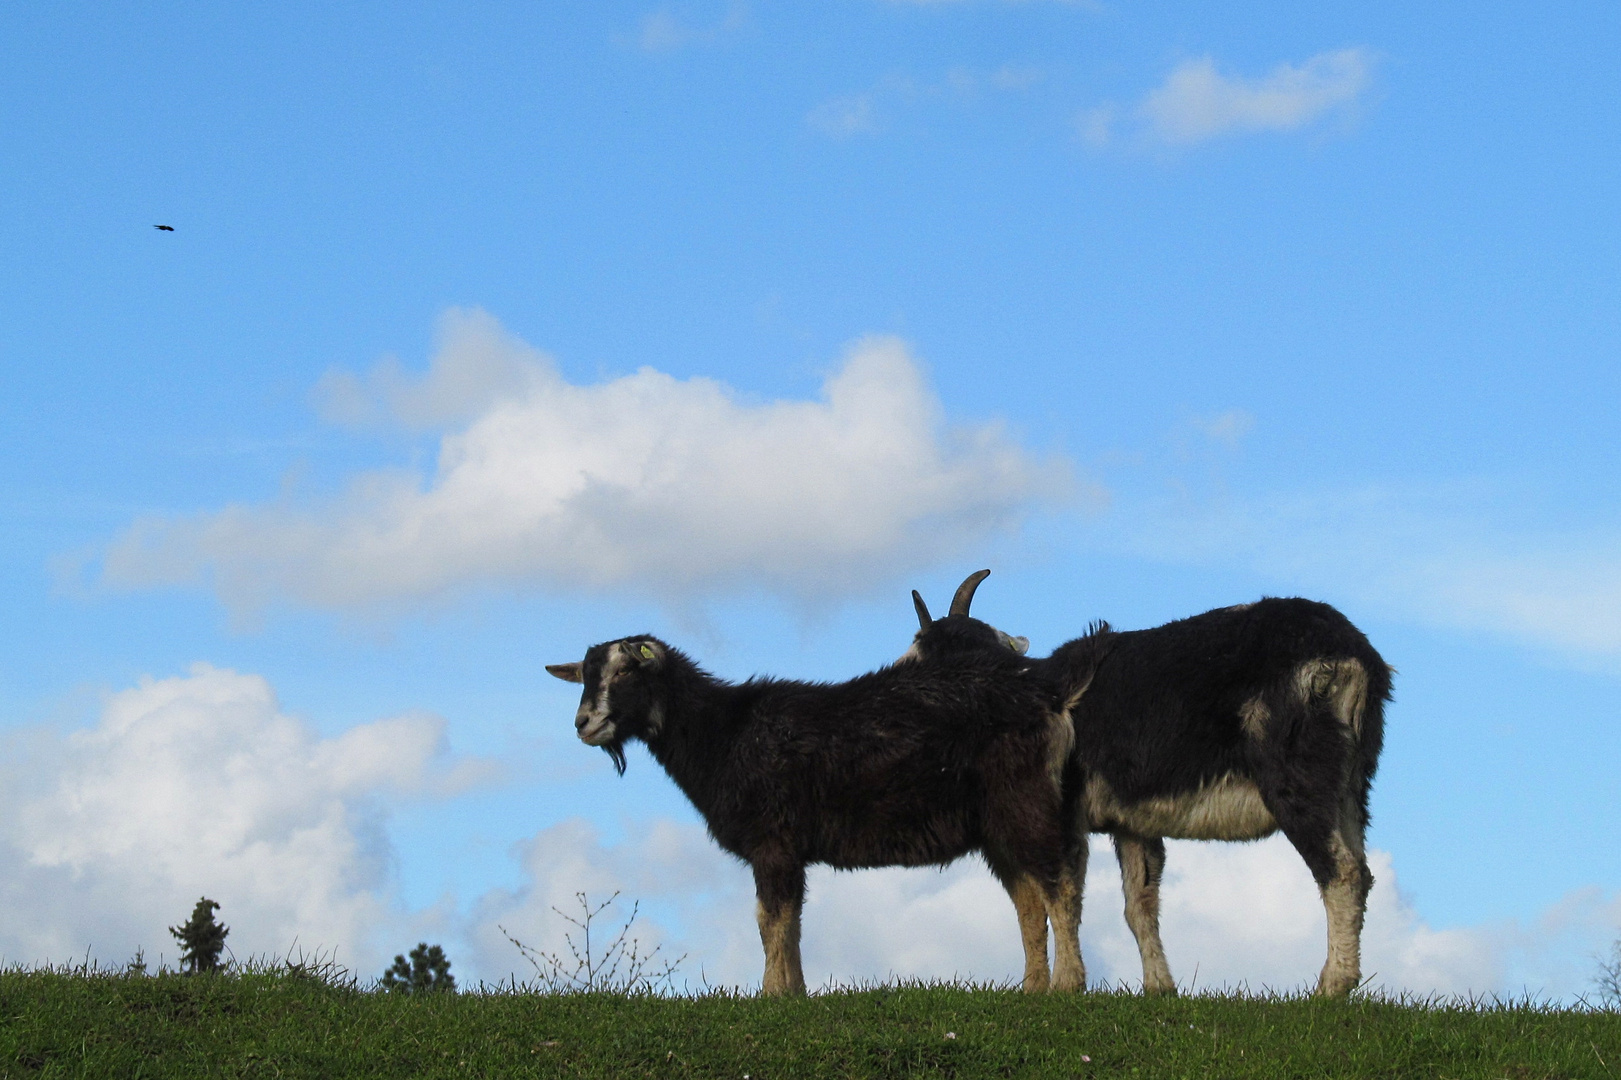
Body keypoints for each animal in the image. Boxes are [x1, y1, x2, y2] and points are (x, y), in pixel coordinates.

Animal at [544, 625, 1102, 998]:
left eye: (625, 670)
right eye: (584, 676)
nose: (583, 722)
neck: (723, 733)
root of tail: (1053, 698)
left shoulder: (772, 842)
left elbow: (769, 919)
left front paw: (770, 993)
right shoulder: (789, 852)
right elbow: (790, 921)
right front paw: (795, 993)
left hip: (1025, 799)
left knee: (1060, 884)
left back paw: (1068, 985)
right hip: (999, 822)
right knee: (1030, 898)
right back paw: (1032, 989)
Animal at [914, 567, 1394, 998]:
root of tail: (1351, 657)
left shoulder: (1058, 813)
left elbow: (1062, 892)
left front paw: (1064, 986)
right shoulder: (1131, 823)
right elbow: (1138, 903)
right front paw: (1159, 988)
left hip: (1299, 771)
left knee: (1341, 871)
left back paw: (1331, 986)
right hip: (1351, 783)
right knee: (1360, 865)